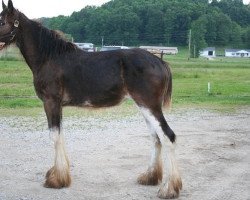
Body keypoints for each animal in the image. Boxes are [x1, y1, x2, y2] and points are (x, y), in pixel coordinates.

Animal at [0, 0, 182, 198]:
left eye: (2, 22)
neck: (49, 57)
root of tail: (160, 62)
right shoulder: (58, 106)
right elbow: (60, 135)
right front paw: (59, 175)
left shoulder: (51, 102)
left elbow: (55, 136)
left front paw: (56, 180)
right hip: (144, 107)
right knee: (156, 138)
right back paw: (150, 177)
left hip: (150, 106)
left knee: (167, 136)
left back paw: (169, 189)